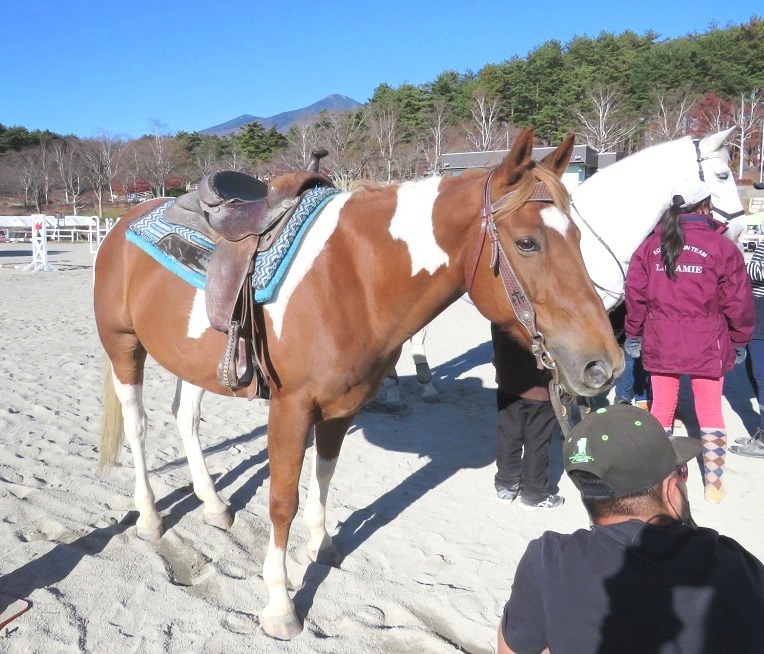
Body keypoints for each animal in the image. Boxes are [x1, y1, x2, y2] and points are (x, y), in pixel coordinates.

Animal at [94, 127, 620, 640]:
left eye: (577, 237)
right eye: (528, 243)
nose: (605, 365)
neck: (353, 276)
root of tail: (121, 225)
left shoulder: (342, 406)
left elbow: (324, 477)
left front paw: (322, 545)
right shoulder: (291, 409)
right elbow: (281, 501)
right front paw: (280, 605)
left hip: (192, 362)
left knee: (185, 418)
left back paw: (213, 504)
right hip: (125, 347)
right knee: (139, 427)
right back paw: (149, 517)